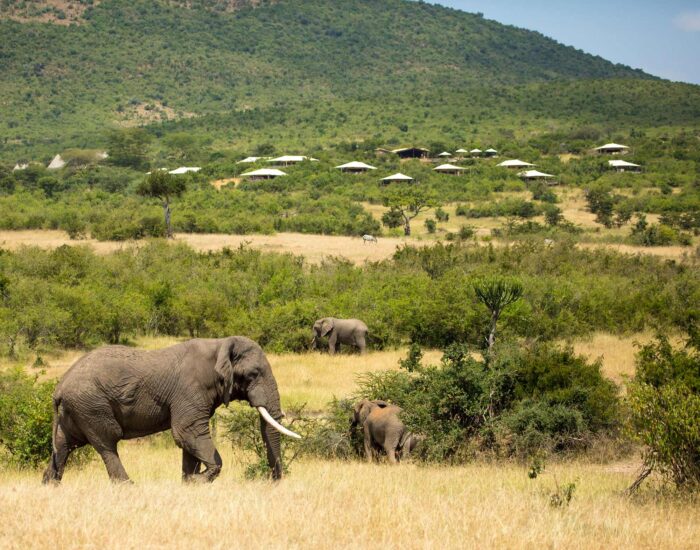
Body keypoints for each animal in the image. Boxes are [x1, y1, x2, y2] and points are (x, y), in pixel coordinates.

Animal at [41, 336, 298, 488]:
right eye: (253, 374)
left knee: (64, 446)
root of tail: (59, 388)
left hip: (74, 412)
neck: (221, 344)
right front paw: (196, 480)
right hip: (91, 406)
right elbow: (187, 432)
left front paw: (188, 483)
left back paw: (49, 485)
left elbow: (190, 441)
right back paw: (128, 486)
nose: (272, 481)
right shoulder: (191, 388)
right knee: (107, 443)